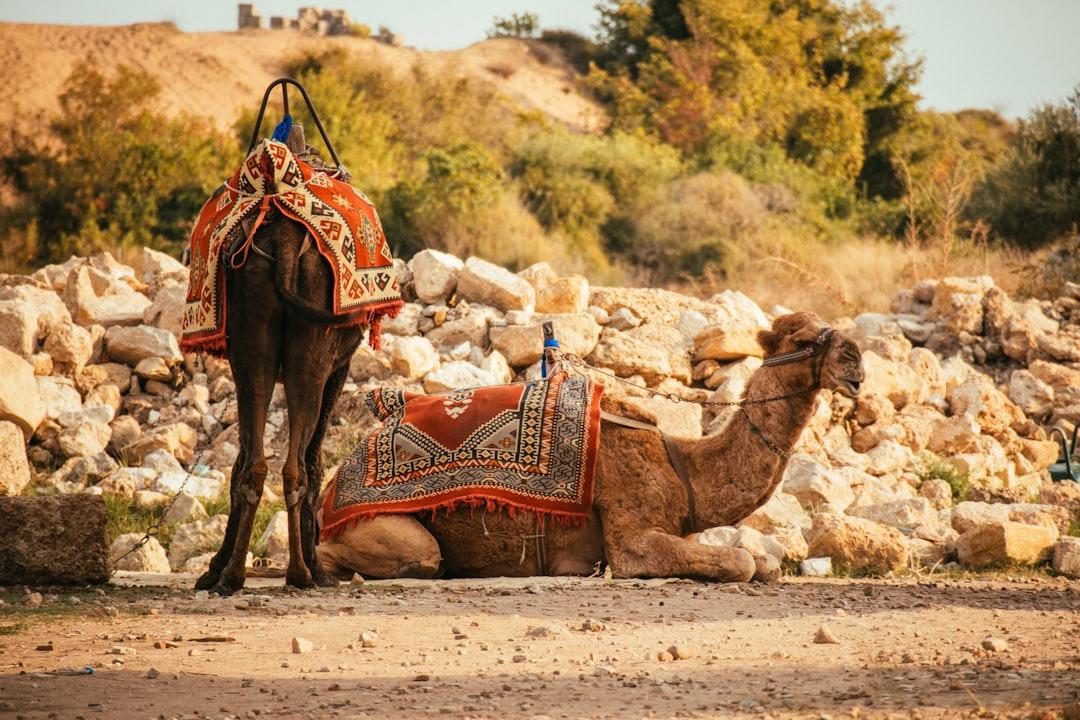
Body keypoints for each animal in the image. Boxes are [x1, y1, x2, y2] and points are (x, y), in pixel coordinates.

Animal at [316, 311, 865, 583]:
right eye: (802, 338)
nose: (856, 359)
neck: (682, 466)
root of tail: (330, 490)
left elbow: (764, 565)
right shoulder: (631, 535)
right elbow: (744, 563)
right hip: (381, 529)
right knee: (416, 558)